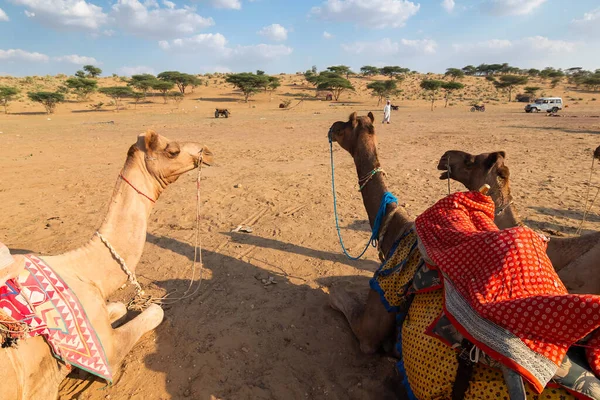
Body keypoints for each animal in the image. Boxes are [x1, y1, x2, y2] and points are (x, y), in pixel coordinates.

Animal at [0, 131, 213, 400]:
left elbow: (120, 306)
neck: (86, 272)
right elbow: (156, 311)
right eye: (172, 151)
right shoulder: (105, 352)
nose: (208, 152)